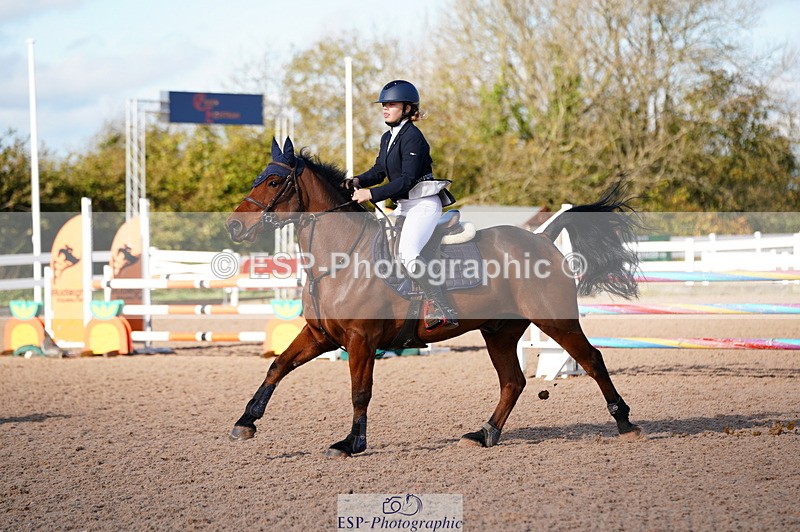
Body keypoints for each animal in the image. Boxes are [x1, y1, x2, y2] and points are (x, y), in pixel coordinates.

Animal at [225, 137, 642, 457]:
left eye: (274, 181)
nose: (233, 225)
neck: (343, 257)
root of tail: (541, 237)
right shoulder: (320, 335)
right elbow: (277, 367)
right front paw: (245, 422)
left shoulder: (361, 340)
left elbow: (360, 392)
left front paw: (351, 443)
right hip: (499, 330)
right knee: (513, 381)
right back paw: (485, 433)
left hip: (555, 319)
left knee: (591, 359)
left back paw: (625, 421)